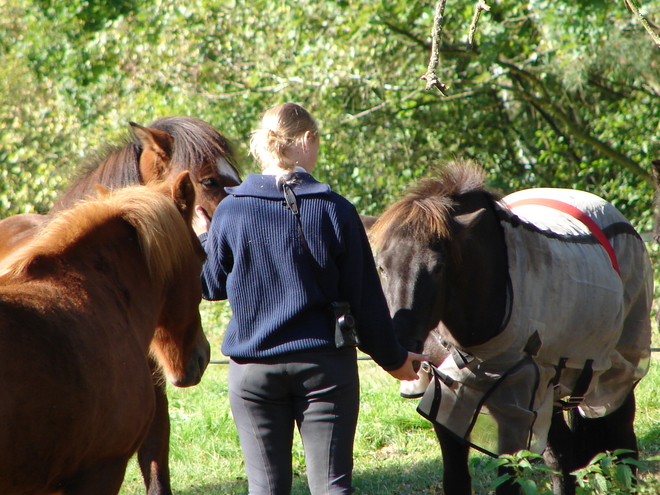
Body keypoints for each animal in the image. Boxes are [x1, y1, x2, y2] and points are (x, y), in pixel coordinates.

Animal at [368, 160, 652, 495]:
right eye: (382, 267)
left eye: (438, 268)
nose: (402, 343)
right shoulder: (449, 397)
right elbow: (456, 477)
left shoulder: (513, 407)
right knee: (563, 454)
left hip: (616, 374)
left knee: (621, 443)